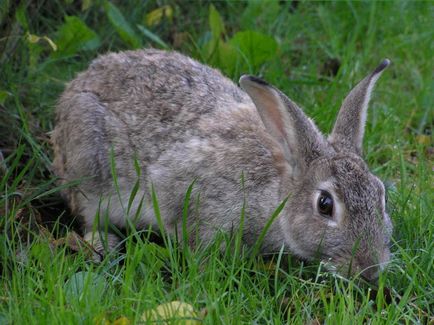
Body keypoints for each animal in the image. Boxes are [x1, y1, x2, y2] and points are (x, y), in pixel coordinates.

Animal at [51, 48, 394, 280]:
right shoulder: (188, 197)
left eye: (381, 195)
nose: (371, 269)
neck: (274, 191)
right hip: (88, 164)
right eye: (325, 205)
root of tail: (75, 86)